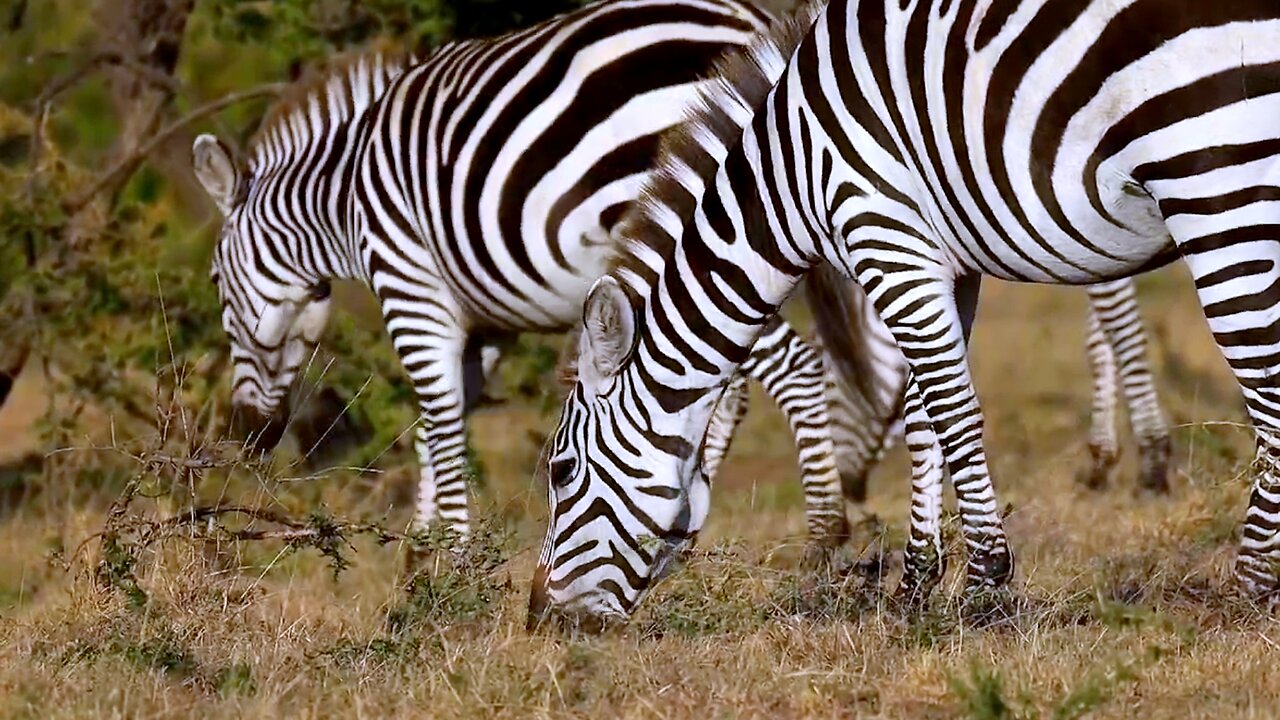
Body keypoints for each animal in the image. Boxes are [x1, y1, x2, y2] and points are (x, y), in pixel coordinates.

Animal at [185, 0, 855, 556]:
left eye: (216, 284)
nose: (247, 435)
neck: (344, 199)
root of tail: (756, 24)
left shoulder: (409, 285)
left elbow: (441, 418)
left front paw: (452, 557)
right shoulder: (486, 321)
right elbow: (440, 424)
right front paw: (423, 549)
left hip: (705, 244)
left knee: (795, 369)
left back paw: (824, 537)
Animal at [524, 0, 1280, 627]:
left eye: (560, 473)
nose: (538, 620)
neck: (788, 176)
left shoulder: (883, 233)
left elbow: (956, 415)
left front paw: (986, 587)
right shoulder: (944, 262)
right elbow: (923, 418)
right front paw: (917, 582)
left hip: (1216, 186)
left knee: (1266, 389)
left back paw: (1251, 586)